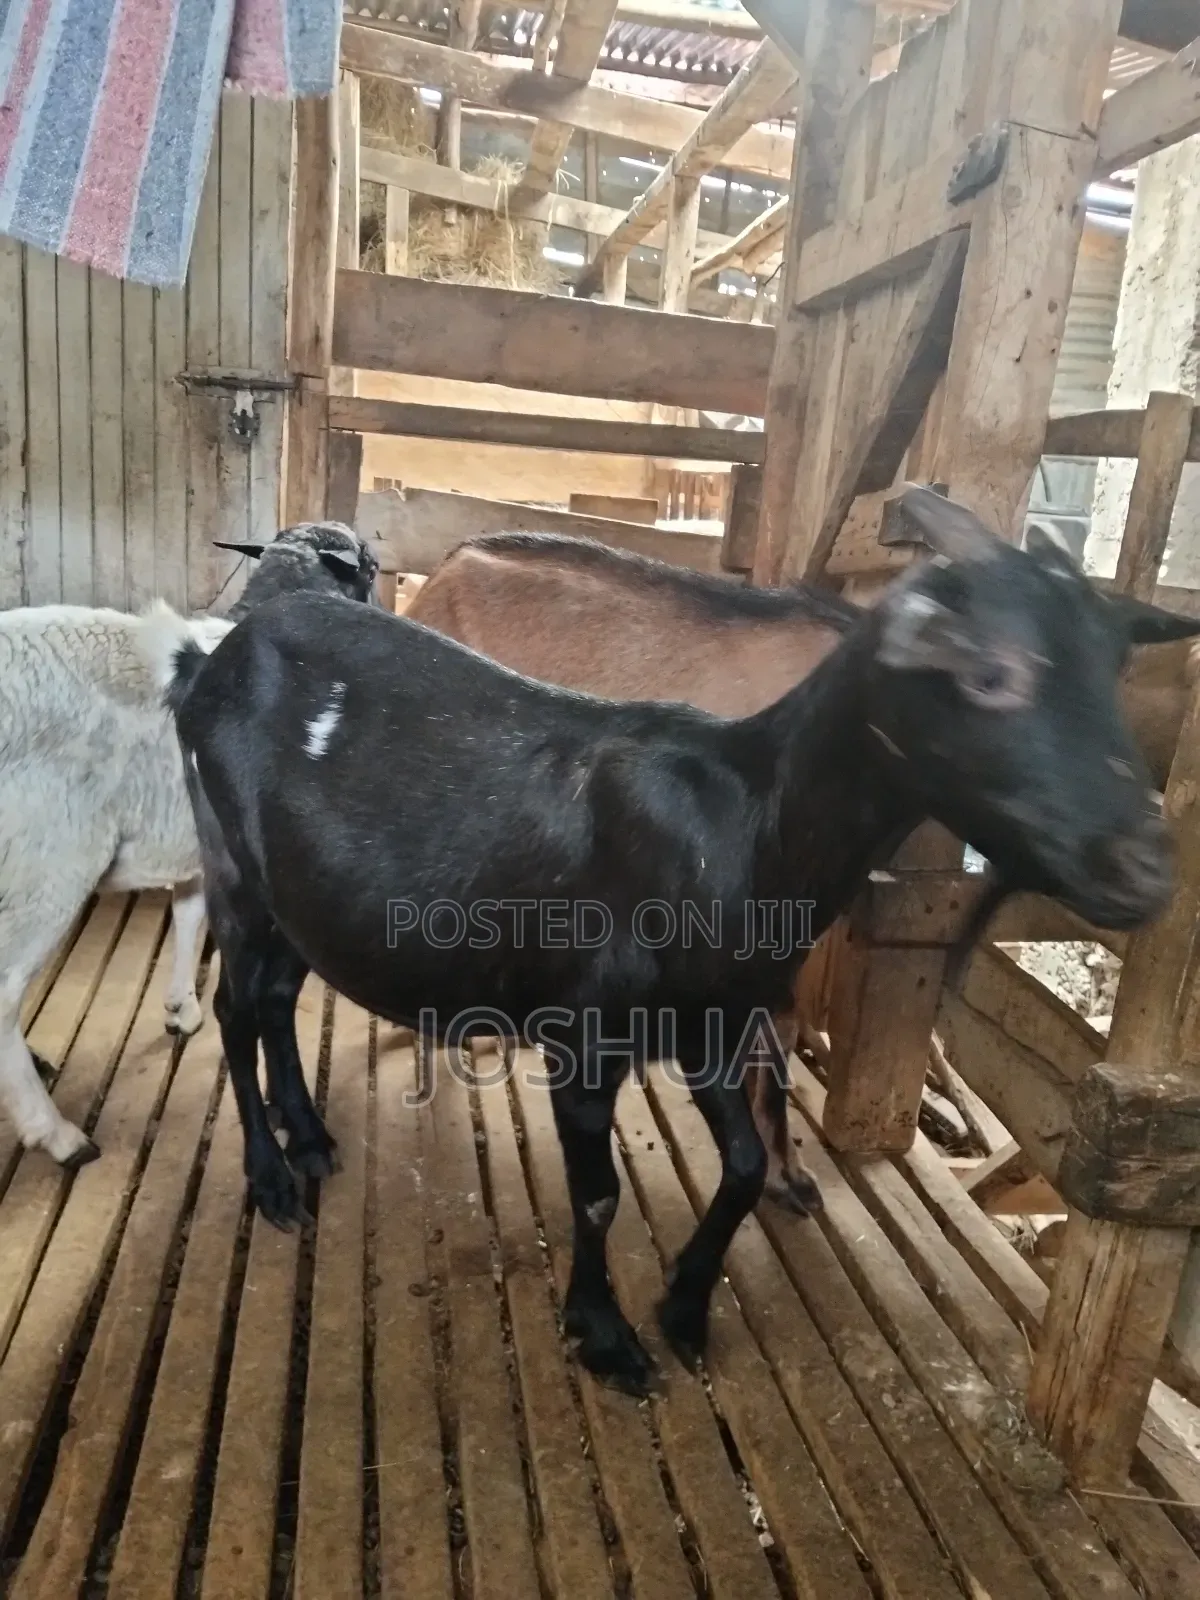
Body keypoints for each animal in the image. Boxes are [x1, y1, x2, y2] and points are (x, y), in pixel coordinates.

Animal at [0, 522, 379, 1169]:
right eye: (371, 570)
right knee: (3, 996)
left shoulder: (204, 855)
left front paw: (181, 1008)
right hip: (48, 863)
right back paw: (56, 1134)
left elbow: (188, 917)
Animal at [150, 487, 1200, 1395]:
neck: (745, 822)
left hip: (300, 893)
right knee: (236, 1008)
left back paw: (313, 1137)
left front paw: (687, 1306)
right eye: (988, 675)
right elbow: (599, 1195)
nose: (1145, 870)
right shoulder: (585, 1039)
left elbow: (740, 1165)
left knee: (277, 998)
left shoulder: (714, 1027)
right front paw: (606, 1334)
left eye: (1113, 670)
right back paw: (272, 1178)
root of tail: (212, 662)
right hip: (232, 863)